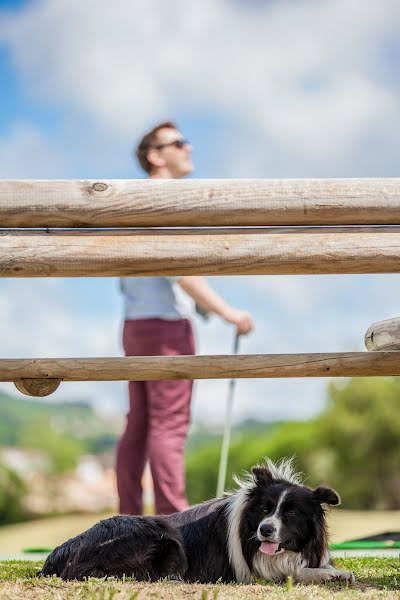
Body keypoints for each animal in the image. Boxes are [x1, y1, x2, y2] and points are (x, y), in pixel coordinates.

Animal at [39, 458, 354, 584]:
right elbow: (294, 572)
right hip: (164, 537)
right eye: (265, 510)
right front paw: (329, 574)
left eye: (290, 513)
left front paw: (332, 570)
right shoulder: (257, 570)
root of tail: (57, 554)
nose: (265, 530)